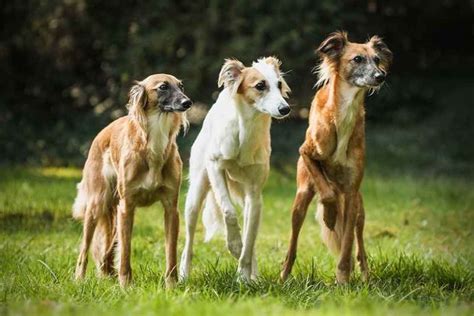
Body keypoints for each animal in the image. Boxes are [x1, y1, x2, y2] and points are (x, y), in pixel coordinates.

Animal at [72, 73, 191, 286]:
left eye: (181, 86)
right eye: (163, 87)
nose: (188, 102)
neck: (154, 144)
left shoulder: (171, 209)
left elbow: (170, 252)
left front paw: (171, 285)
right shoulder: (127, 207)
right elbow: (126, 251)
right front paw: (125, 285)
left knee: (107, 251)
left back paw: (106, 273)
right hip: (97, 204)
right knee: (85, 248)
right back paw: (80, 279)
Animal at [180, 56, 290, 282]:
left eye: (279, 84)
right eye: (260, 85)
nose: (285, 109)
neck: (245, 131)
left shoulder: (255, 195)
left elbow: (250, 240)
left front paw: (243, 277)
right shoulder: (215, 167)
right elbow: (229, 212)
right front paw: (234, 245)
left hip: (248, 200)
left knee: (251, 236)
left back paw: (252, 276)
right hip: (195, 195)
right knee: (188, 243)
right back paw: (183, 275)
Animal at [282, 32, 392, 284]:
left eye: (377, 59)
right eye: (357, 59)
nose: (381, 76)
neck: (343, 117)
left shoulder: (351, 193)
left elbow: (348, 242)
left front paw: (342, 279)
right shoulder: (306, 152)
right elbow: (328, 193)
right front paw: (330, 217)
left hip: (361, 206)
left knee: (358, 243)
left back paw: (365, 275)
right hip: (301, 198)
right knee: (293, 241)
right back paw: (284, 275)